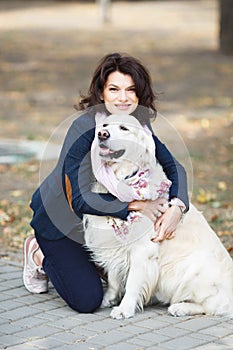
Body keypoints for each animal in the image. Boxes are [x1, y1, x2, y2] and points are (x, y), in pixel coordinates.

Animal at [83, 114, 233, 320]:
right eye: (104, 125)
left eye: (124, 128)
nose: (102, 134)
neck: (123, 178)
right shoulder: (113, 243)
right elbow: (113, 277)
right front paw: (109, 298)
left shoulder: (142, 250)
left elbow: (133, 282)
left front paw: (124, 308)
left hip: (193, 270)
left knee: (213, 306)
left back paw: (180, 307)